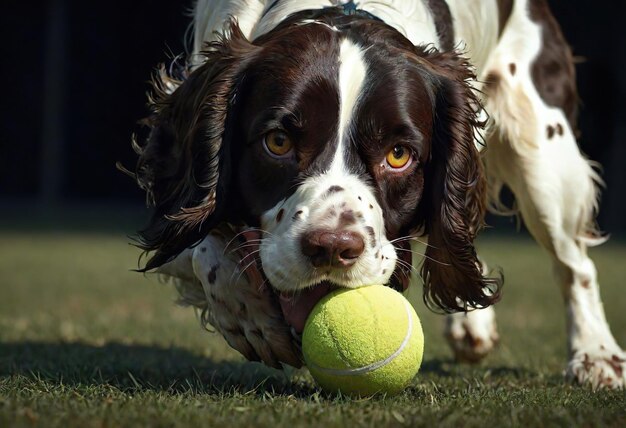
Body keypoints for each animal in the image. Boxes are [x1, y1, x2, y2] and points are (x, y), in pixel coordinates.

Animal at [128, 0, 624, 388]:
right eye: (278, 142)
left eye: (398, 154)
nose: (332, 248)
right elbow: (197, 236)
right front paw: (247, 310)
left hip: (542, 156)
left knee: (572, 261)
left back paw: (597, 356)